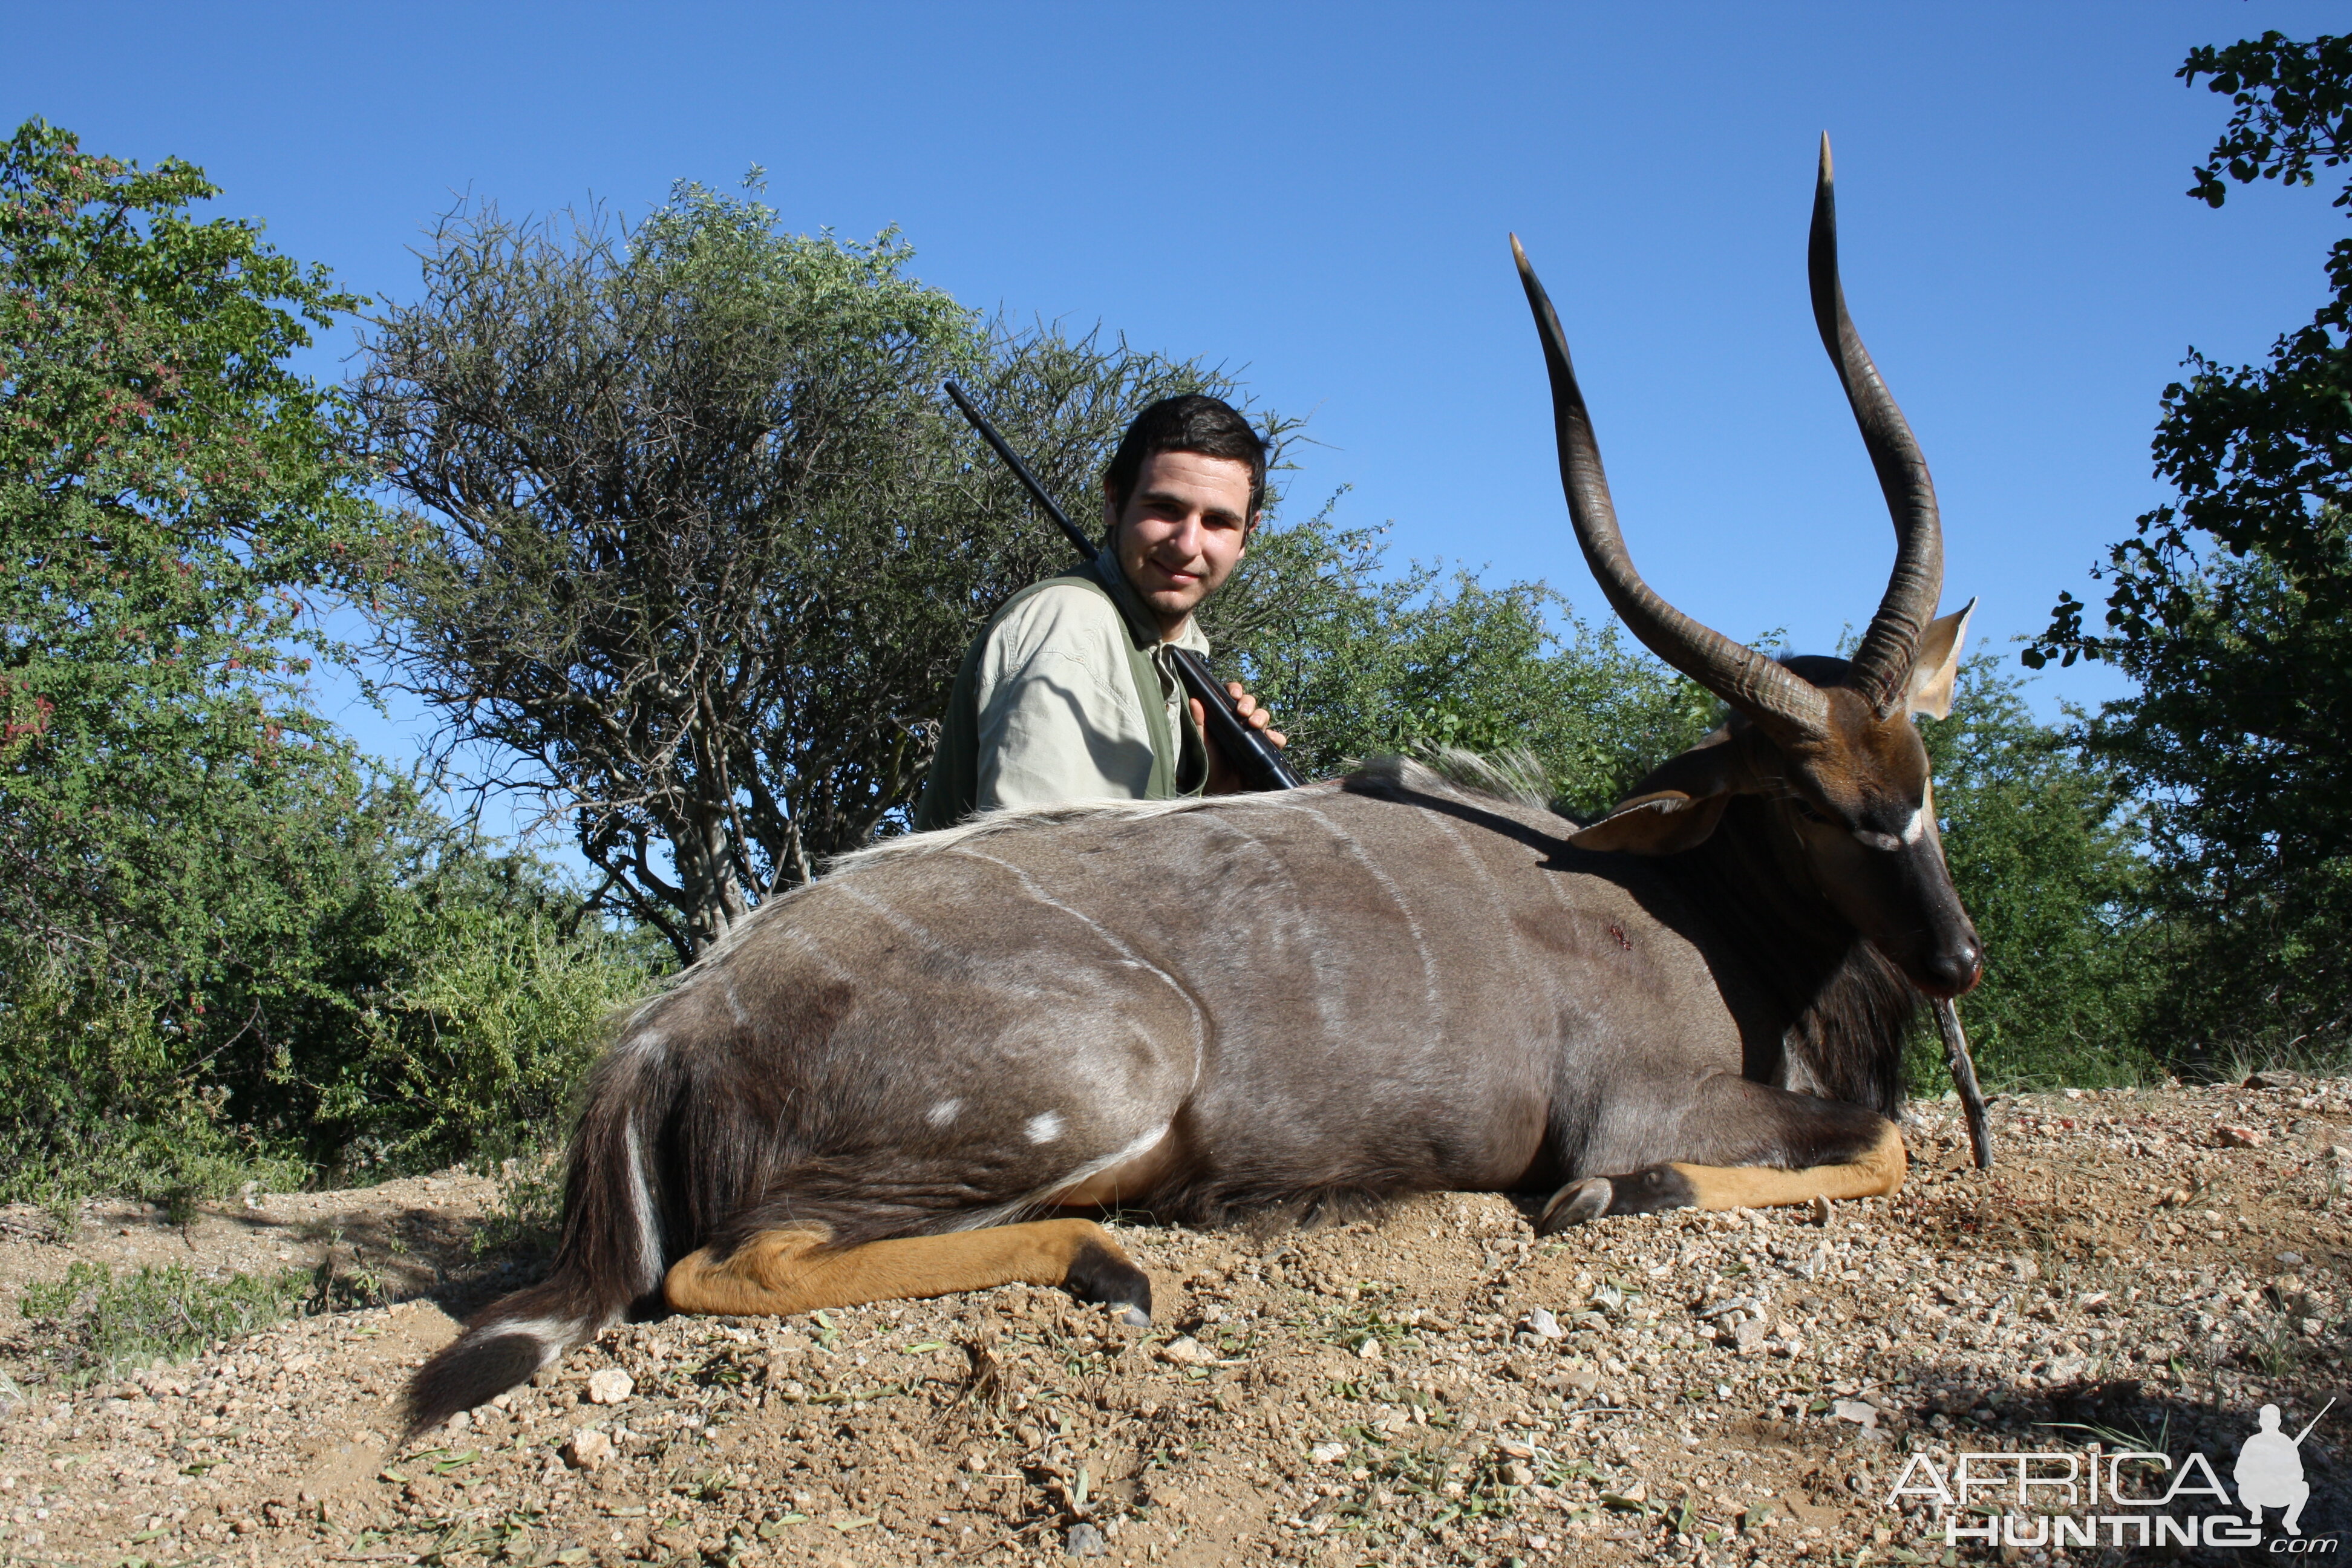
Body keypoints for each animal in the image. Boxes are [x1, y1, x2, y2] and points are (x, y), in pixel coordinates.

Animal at [409, 141, 1985, 1439]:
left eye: (1919, 769)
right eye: (1803, 796)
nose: (1956, 957)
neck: (1681, 902)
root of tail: (659, 1033)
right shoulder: (1642, 1105)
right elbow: (1874, 1143)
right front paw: (1624, 1197)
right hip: (1104, 1077)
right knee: (727, 1263)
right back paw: (1106, 1262)